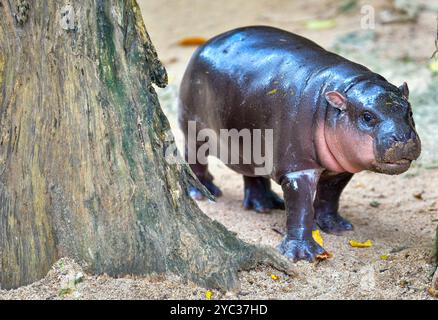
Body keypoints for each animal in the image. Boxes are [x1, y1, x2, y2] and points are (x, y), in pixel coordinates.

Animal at [177, 26, 420, 262]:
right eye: (367, 116)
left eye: (409, 111)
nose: (403, 138)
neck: (338, 97)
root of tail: (207, 43)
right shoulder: (297, 169)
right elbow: (300, 207)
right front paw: (303, 254)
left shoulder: (340, 168)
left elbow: (331, 196)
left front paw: (337, 227)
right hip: (194, 129)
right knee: (194, 158)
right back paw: (202, 192)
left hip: (250, 145)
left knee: (253, 173)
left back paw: (265, 205)